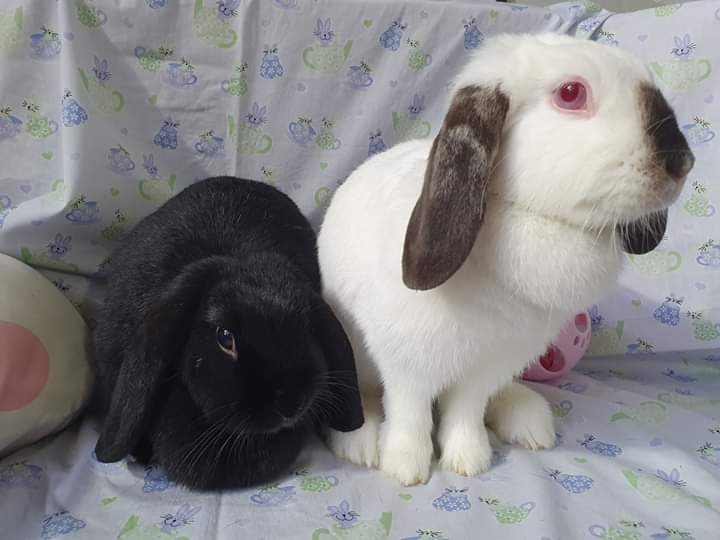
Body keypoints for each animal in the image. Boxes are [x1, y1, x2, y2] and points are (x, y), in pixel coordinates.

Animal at [317, 33, 694, 486]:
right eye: (571, 93)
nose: (683, 162)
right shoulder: (407, 364)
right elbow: (410, 415)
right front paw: (407, 468)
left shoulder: (486, 368)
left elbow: (465, 412)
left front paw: (468, 460)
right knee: (367, 397)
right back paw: (360, 442)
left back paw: (528, 420)